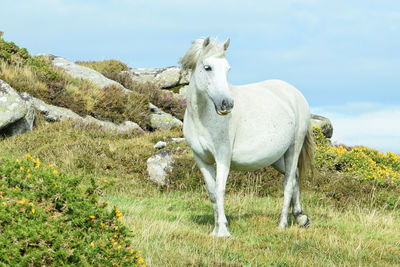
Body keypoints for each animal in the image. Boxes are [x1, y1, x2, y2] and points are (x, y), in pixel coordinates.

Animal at [180, 36, 314, 238]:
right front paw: (215, 231)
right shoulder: (201, 159)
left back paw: (282, 224)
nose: (227, 104)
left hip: (294, 148)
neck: (202, 118)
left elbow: (220, 189)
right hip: (278, 157)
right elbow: (212, 193)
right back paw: (300, 217)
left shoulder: (223, 157)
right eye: (208, 67)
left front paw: (223, 231)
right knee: (295, 176)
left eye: (228, 69)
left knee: (288, 183)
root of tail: (295, 94)